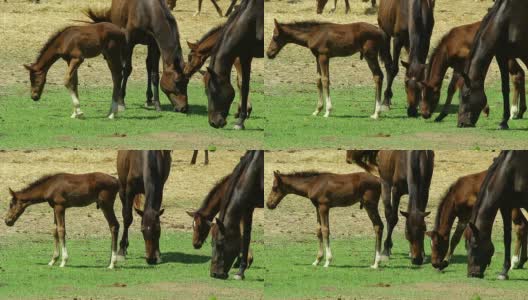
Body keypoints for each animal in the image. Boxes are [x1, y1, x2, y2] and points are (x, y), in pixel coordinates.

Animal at [208, 151, 262, 280]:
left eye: (220, 244)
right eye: (211, 243)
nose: (214, 274)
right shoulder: (248, 207)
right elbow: (246, 236)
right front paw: (241, 271)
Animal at [266, 20, 394, 119]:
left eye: (275, 36)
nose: (268, 53)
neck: (313, 34)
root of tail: (380, 31)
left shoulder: (324, 56)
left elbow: (325, 80)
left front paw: (327, 111)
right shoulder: (317, 57)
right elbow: (318, 80)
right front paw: (317, 110)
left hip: (370, 55)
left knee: (378, 76)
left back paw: (376, 113)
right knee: (377, 76)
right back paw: (374, 112)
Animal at [466, 151, 528, 280]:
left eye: (475, 245)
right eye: (466, 246)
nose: (472, 274)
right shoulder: (506, 206)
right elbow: (507, 238)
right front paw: (504, 271)